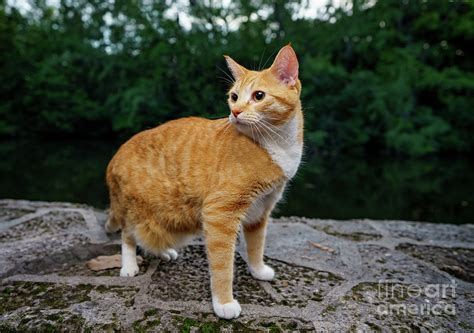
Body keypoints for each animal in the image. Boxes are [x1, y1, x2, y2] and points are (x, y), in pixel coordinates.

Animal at [105, 44, 302, 320]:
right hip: (135, 210)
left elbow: (256, 245)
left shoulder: (261, 210)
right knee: (128, 235)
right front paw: (224, 302)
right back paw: (129, 264)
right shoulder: (220, 214)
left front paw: (258, 270)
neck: (276, 144)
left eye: (259, 96)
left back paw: (163, 251)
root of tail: (115, 156)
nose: (235, 112)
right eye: (234, 97)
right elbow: (222, 266)